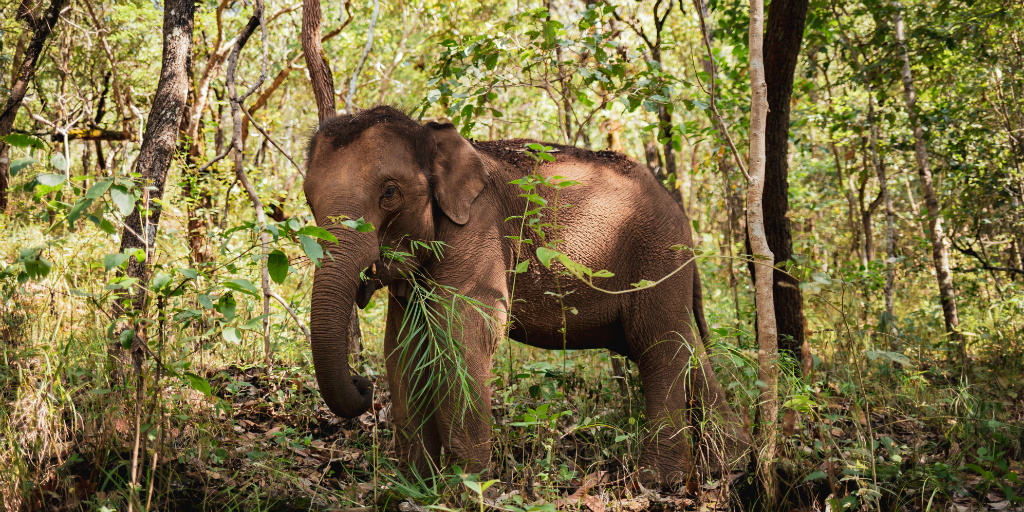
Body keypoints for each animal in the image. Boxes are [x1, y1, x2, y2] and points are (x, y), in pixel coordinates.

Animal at [303, 107, 753, 483]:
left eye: (389, 193)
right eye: (308, 200)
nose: (363, 384)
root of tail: (681, 216)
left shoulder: (477, 228)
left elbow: (462, 330)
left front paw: (468, 486)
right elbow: (403, 345)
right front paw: (417, 484)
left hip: (657, 256)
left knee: (657, 344)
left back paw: (659, 481)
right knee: (684, 342)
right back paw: (730, 463)